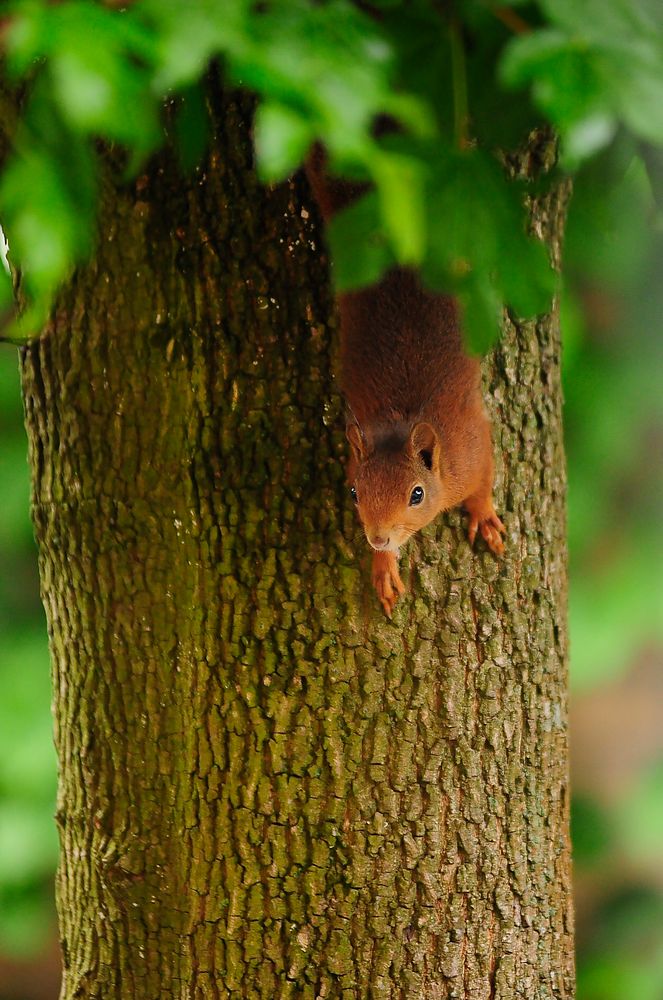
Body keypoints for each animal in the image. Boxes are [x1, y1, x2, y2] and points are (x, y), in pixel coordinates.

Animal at [308, 149, 508, 616]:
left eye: (416, 494)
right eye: (354, 493)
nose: (378, 537)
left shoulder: (472, 442)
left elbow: (485, 475)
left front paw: (484, 514)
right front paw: (383, 567)